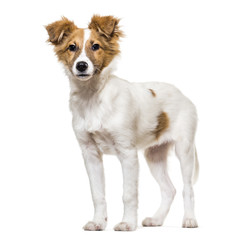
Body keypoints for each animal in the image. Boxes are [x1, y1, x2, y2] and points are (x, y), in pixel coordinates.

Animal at [45, 14, 199, 231]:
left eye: (96, 46)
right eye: (71, 47)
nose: (81, 65)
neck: (92, 97)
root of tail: (183, 94)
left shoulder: (127, 152)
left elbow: (129, 194)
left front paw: (127, 223)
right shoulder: (90, 153)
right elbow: (97, 193)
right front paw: (98, 222)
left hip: (184, 149)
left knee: (187, 187)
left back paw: (190, 220)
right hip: (154, 155)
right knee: (170, 189)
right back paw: (157, 219)